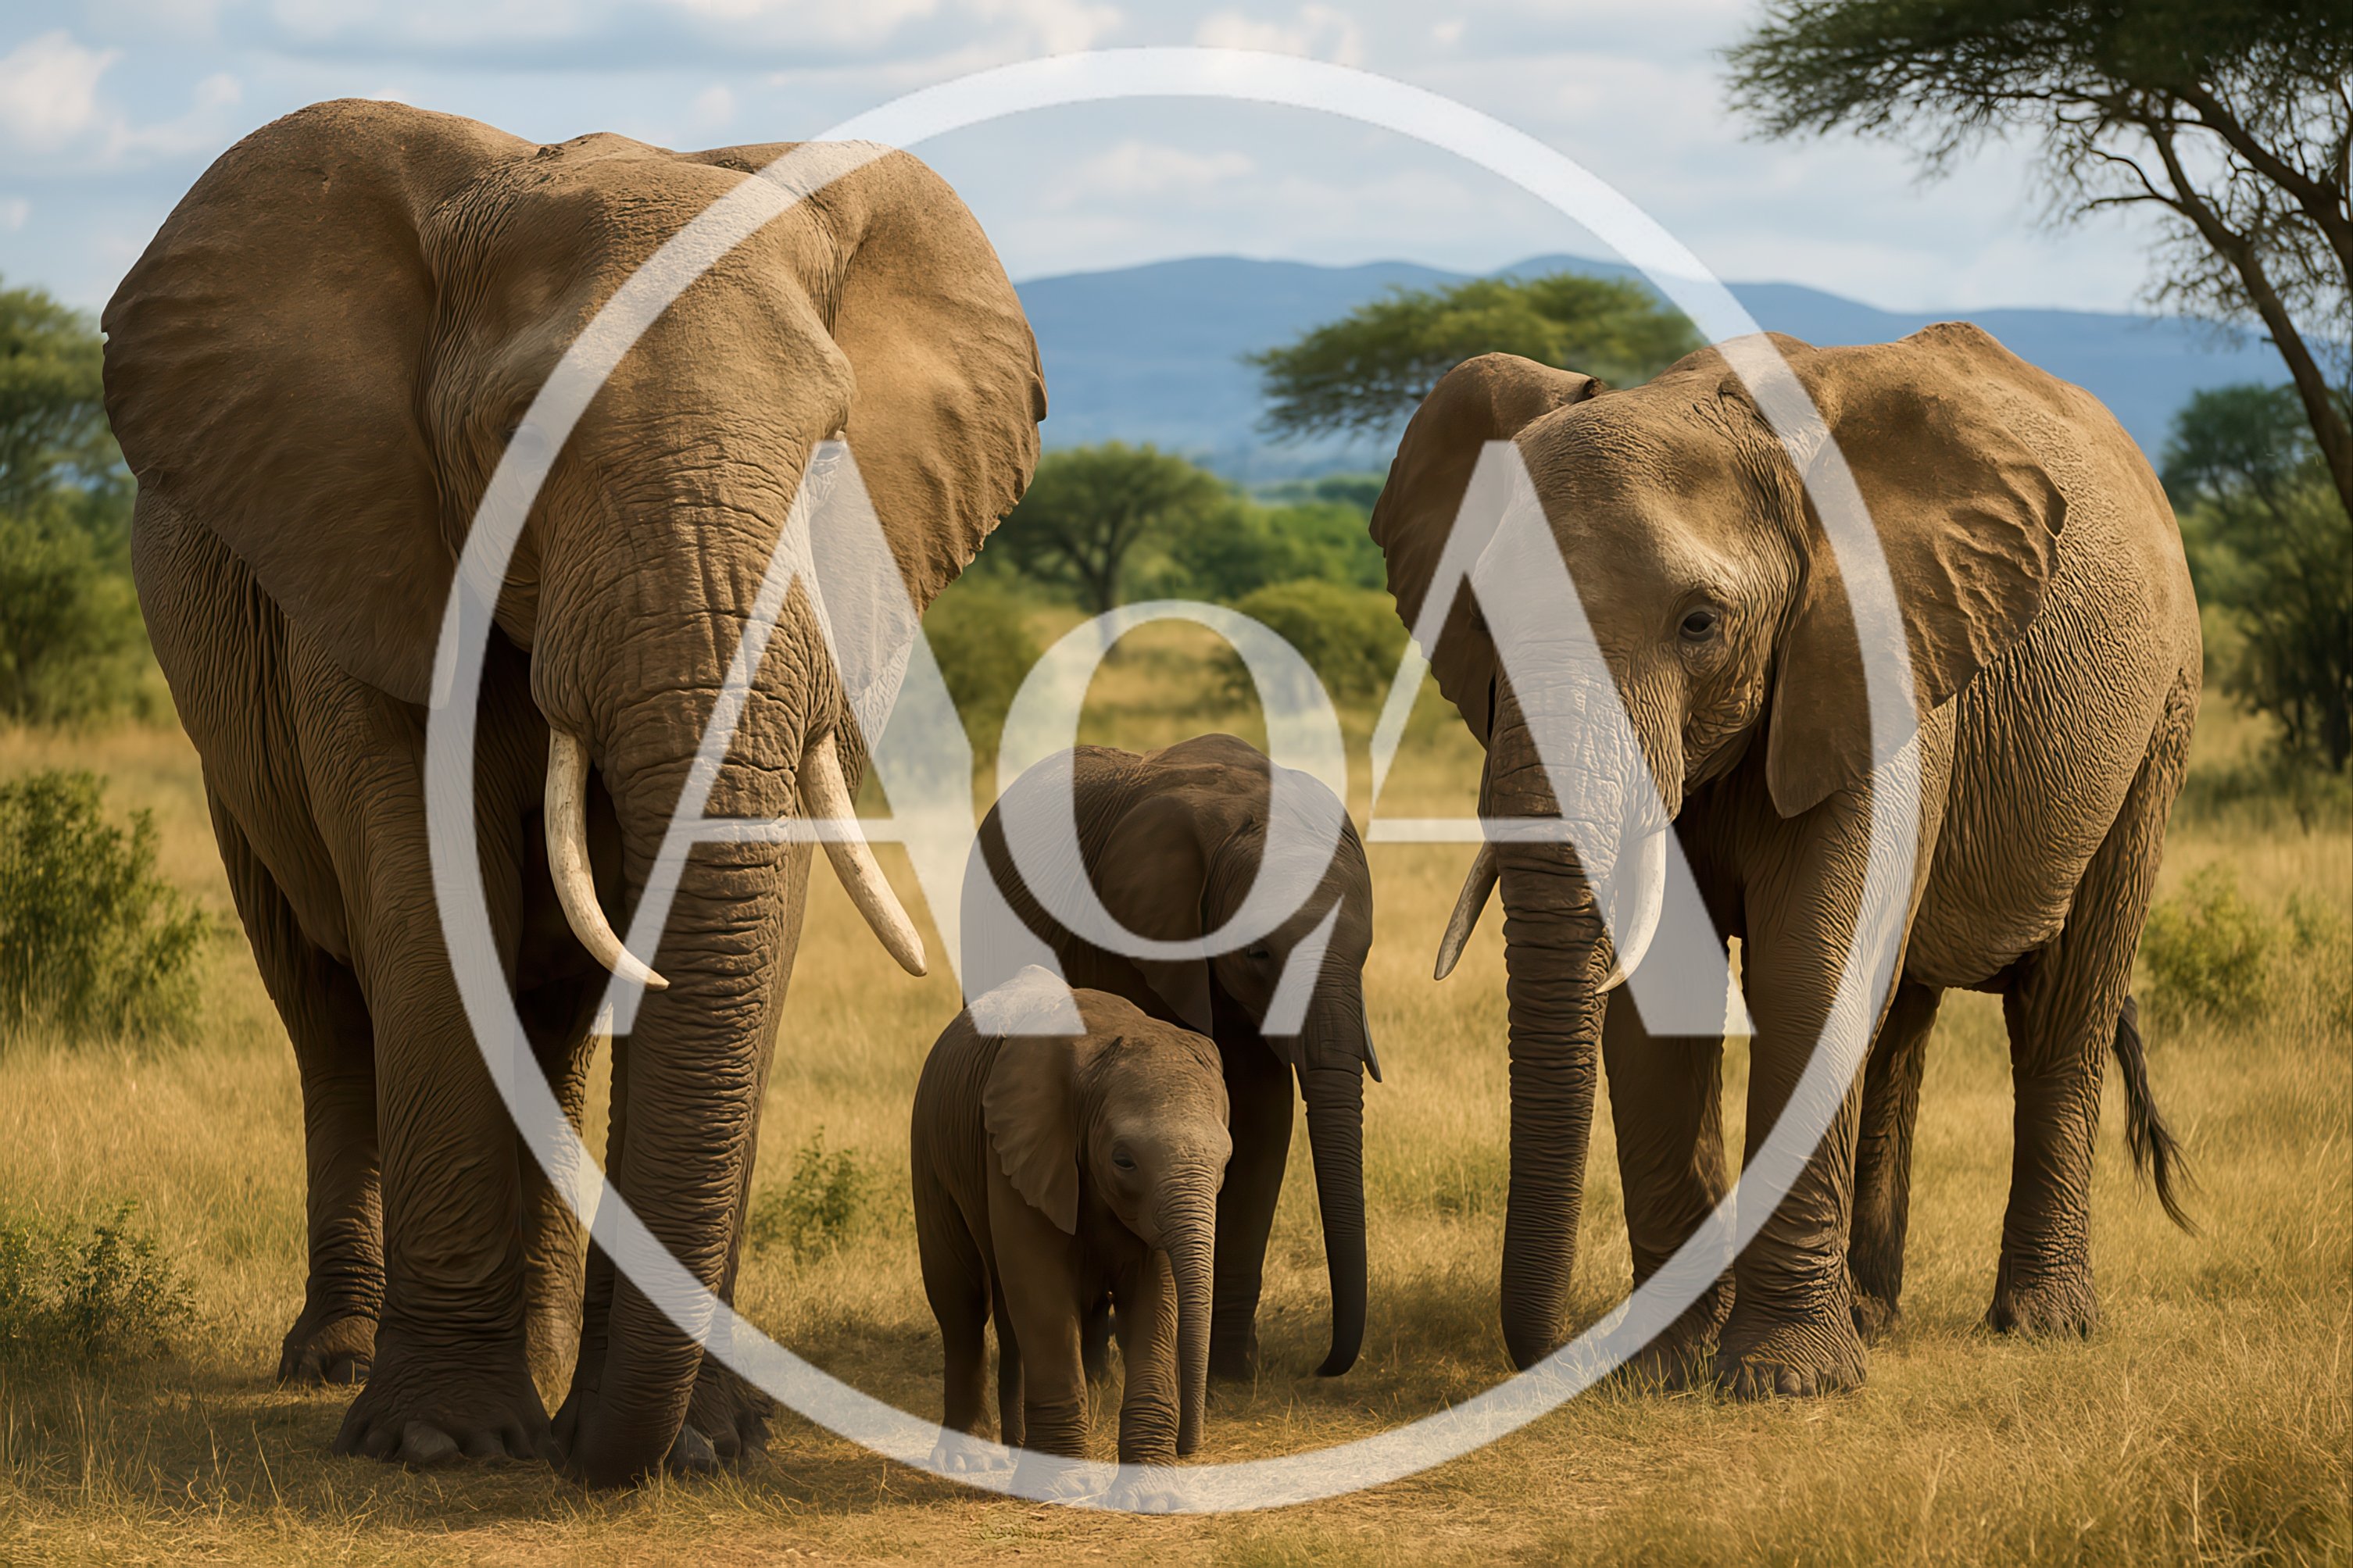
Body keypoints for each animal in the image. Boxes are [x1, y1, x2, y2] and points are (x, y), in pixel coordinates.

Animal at [101, 100, 1045, 1481]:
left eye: (832, 444)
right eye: (518, 439)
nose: (594, 1455)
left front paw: (707, 1441)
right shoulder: (369, 554)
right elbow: (435, 917)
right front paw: (439, 1439)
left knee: (545, 1021)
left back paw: (545, 1358)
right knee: (326, 1010)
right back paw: (342, 1357)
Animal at [912, 970, 1232, 1468]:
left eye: (1226, 1161)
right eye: (1124, 1161)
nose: (1188, 1448)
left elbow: (1155, 1294)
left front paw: (1148, 1481)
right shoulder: (1024, 1142)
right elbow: (1041, 1285)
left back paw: (1014, 1447)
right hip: (931, 1146)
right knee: (960, 1299)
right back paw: (971, 1460)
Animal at [961, 733, 1376, 1381]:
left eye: (1365, 947)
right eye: (1258, 953)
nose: (1322, 1366)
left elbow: (1263, 1116)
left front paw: (1231, 1374)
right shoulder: (1133, 933)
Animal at [1373, 324, 2198, 1392]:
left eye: (1698, 625)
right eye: (1481, 619)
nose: (1548, 1354)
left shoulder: (1878, 670)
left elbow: (1809, 970)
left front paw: (1781, 1381)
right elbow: (1664, 990)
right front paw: (1663, 1371)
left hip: (2157, 723)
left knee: (2066, 1003)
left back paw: (2038, 1325)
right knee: (1901, 1015)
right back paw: (1871, 1314)